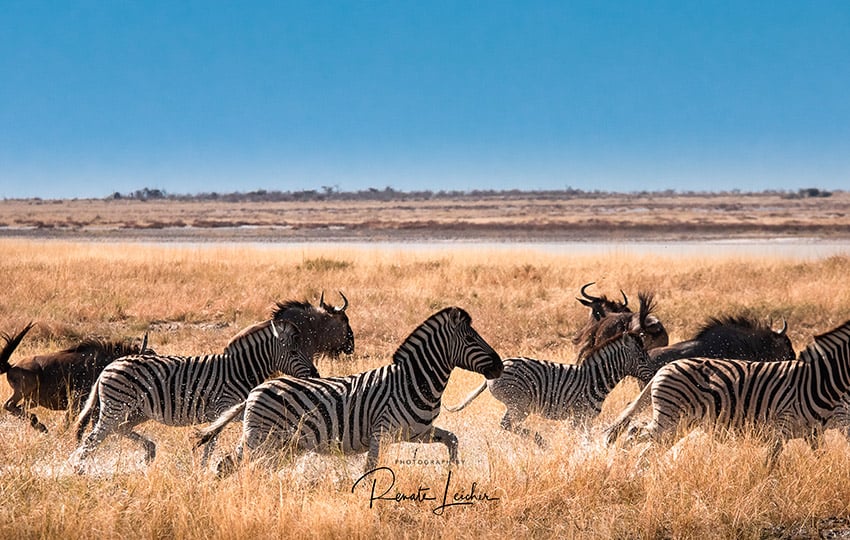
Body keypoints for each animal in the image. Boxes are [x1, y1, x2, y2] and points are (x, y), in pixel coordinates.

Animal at [70, 318, 317, 470]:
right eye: (294, 352)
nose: (315, 373)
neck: (239, 371)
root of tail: (108, 367)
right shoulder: (223, 407)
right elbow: (212, 441)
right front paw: (203, 469)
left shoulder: (232, 409)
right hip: (117, 406)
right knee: (94, 438)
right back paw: (77, 470)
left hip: (137, 411)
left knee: (118, 430)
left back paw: (149, 451)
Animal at [195, 307, 503, 476]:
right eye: (471, 339)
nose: (499, 365)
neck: (413, 381)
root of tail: (255, 390)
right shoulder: (382, 432)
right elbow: (371, 469)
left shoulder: (417, 431)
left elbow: (452, 439)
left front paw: (454, 471)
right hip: (261, 438)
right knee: (229, 464)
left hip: (277, 444)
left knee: (236, 465)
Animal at [443, 331, 651, 447]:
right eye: (642, 359)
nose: (654, 374)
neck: (596, 379)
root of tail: (504, 362)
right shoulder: (578, 416)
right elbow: (576, 438)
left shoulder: (586, 420)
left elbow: (585, 438)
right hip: (520, 403)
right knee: (507, 424)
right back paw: (541, 441)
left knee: (508, 425)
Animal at [604, 319, 850, 466]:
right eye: (787, 347)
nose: (793, 359)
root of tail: (663, 369)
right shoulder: (783, 426)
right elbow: (771, 463)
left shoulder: (815, 431)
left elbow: (821, 456)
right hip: (670, 419)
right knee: (634, 432)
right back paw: (622, 465)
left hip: (679, 424)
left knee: (644, 444)